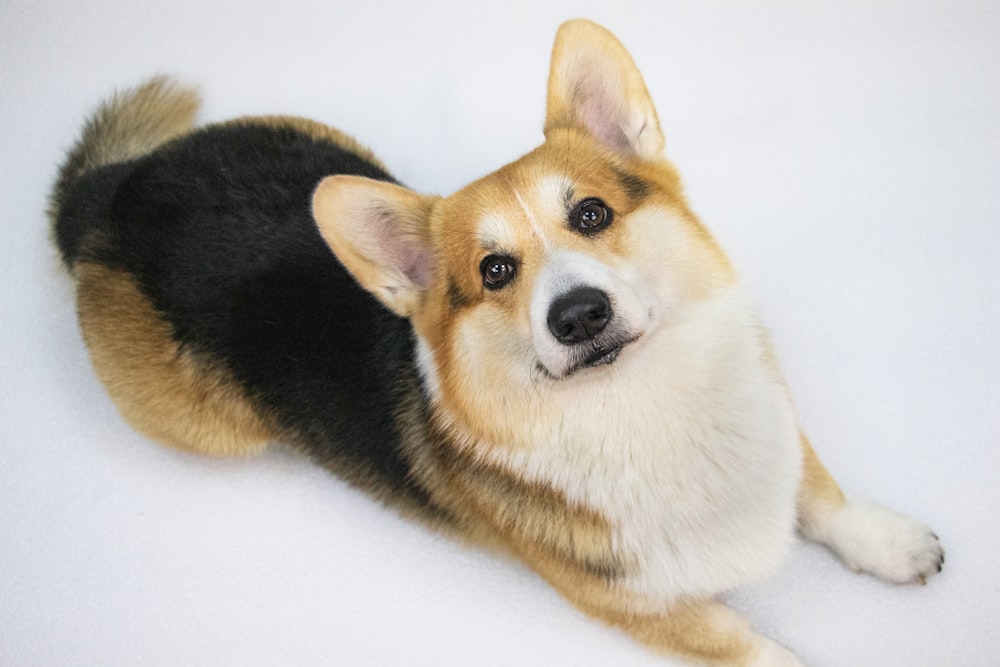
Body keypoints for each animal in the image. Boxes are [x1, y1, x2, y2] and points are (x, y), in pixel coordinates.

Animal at [52, 19, 944, 667]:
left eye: (591, 213)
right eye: (495, 270)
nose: (578, 315)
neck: (643, 409)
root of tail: (115, 193)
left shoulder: (776, 428)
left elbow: (823, 497)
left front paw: (892, 542)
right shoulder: (642, 605)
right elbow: (752, 644)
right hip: (209, 429)